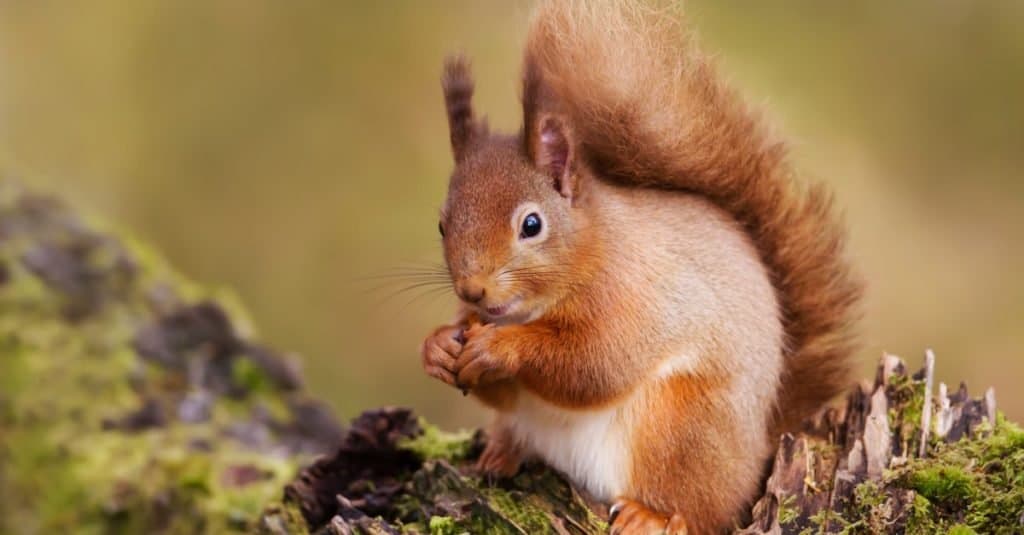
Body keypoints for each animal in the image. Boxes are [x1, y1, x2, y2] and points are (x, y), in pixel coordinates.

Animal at [419, 2, 860, 528]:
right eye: (441, 224)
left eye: (531, 224)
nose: (472, 290)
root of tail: (761, 450)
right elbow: (506, 389)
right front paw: (438, 346)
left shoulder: (635, 296)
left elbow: (597, 364)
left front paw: (499, 349)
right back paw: (500, 455)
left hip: (681, 429)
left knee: (698, 510)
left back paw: (649, 516)